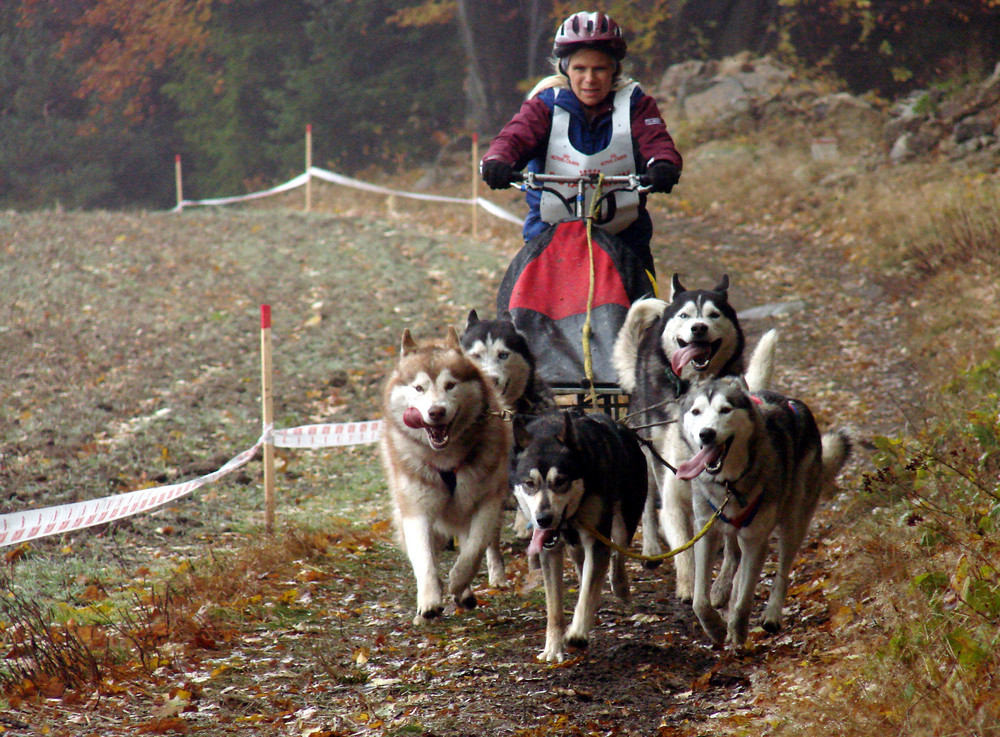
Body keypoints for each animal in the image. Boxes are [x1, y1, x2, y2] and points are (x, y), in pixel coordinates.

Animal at [380, 326, 512, 620]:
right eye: (419, 387)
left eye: (450, 385)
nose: (436, 411)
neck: (446, 460)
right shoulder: (416, 509)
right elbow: (424, 559)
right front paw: (429, 599)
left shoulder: (486, 501)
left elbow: (473, 550)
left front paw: (459, 581)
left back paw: (465, 592)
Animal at [512, 408, 644, 660]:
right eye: (529, 483)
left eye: (561, 481)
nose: (543, 519)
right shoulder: (550, 550)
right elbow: (554, 606)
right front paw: (553, 648)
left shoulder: (597, 539)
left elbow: (587, 593)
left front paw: (577, 633)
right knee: (583, 566)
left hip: (625, 519)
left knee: (617, 555)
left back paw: (620, 587)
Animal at [608, 274, 780, 600]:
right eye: (686, 315)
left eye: (713, 314)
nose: (698, 327)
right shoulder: (674, 504)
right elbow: (685, 550)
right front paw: (689, 586)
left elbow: (731, 551)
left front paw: (722, 586)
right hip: (647, 457)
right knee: (648, 506)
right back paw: (651, 546)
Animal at [676, 376, 848, 648]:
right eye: (696, 412)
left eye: (725, 410)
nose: (706, 433)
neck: (730, 483)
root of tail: (792, 402)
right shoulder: (706, 530)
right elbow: (699, 601)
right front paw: (715, 628)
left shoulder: (755, 539)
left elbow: (744, 600)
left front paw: (737, 633)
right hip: (731, 527)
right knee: (733, 556)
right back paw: (722, 589)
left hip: (793, 522)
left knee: (781, 572)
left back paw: (771, 614)